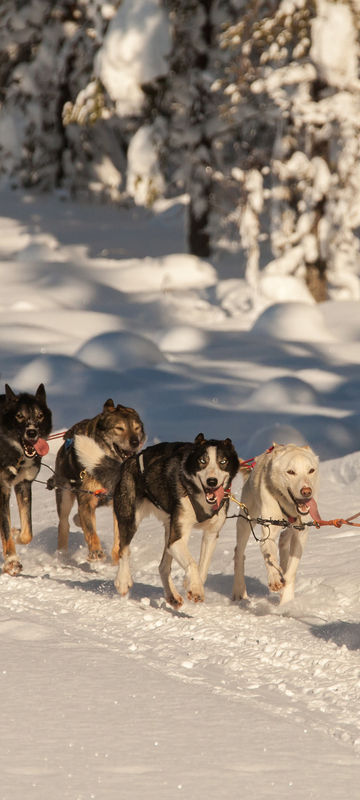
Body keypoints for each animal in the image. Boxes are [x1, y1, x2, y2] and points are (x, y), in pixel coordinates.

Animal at [0, 384, 52, 572]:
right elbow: (5, 526)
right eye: (19, 416)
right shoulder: (3, 489)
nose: (31, 432)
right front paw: (12, 561)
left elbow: (27, 533)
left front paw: (16, 534)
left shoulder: (23, 484)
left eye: (40, 415)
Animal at [52, 400, 145, 564]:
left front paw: (118, 557)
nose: (135, 442)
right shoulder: (86, 500)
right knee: (64, 524)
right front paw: (95, 551)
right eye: (119, 428)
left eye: (137, 428)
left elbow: (118, 535)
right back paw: (62, 555)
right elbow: (90, 530)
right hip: (64, 496)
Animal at [74, 432, 239, 608]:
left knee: (163, 567)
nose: (212, 481)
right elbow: (192, 563)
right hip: (130, 518)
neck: (198, 494)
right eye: (202, 461)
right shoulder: (177, 538)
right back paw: (123, 581)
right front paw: (195, 589)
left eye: (223, 461)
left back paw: (172, 595)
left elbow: (203, 568)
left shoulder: (211, 535)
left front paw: (193, 584)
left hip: (168, 527)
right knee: (123, 549)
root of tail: (128, 463)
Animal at [232, 444, 320, 608]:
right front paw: (274, 578)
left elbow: (291, 571)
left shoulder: (301, 533)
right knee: (239, 553)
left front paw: (287, 602)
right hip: (246, 521)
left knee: (284, 540)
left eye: (311, 470)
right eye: (291, 472)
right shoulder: (268, 532)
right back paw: (239, 590)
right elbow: (270, 557)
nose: (306, 491)